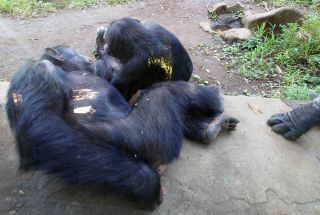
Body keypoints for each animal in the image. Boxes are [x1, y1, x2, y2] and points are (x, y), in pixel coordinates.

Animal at [6, 46, 238, 209]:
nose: (88, 56)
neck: (65, 69)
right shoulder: (38, 72)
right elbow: (42, 127)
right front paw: (148, 185)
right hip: (146, 136)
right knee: (164, 91)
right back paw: (214, 98)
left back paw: (211, 127)